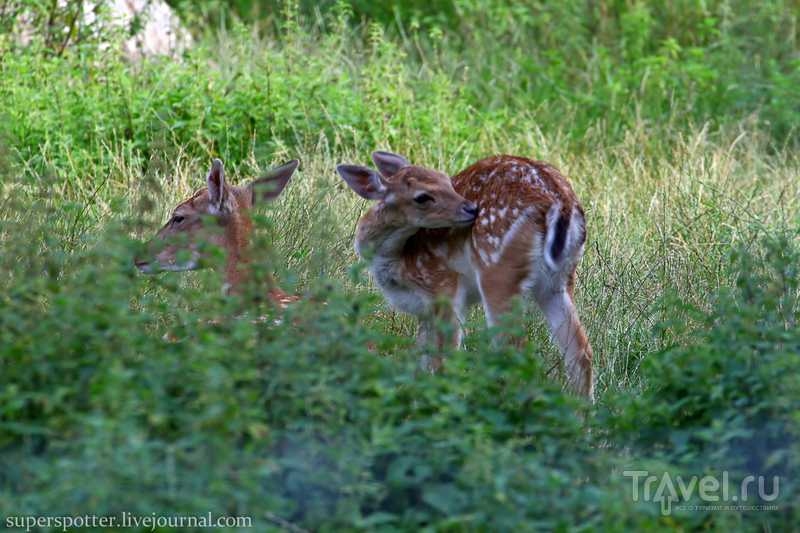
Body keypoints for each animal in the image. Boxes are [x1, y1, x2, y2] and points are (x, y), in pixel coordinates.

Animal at [338, 150, 592, 400]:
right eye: (422, 197)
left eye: (448, 182)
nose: (471, 208)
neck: (397, 260)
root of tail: (560, 201)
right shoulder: (424, 310)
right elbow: (421, 358)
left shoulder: (442, 285)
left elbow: (444, 359)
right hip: (558, 281)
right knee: (580, 352)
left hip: (498, 271)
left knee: (514, 353)